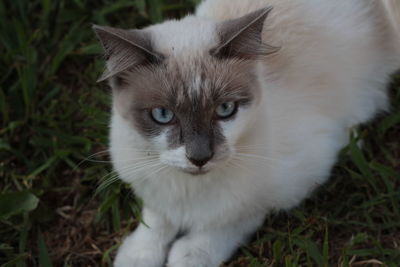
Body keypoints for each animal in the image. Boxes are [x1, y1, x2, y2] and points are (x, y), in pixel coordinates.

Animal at [93, 0, 400, 267]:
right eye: (163, 115)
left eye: (225, 109)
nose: (200, 157)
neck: (189, 191)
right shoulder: (152, 188)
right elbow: (156, 220)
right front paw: (138, 255)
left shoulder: (294, 180)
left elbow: (231, 219)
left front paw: (192, 255)